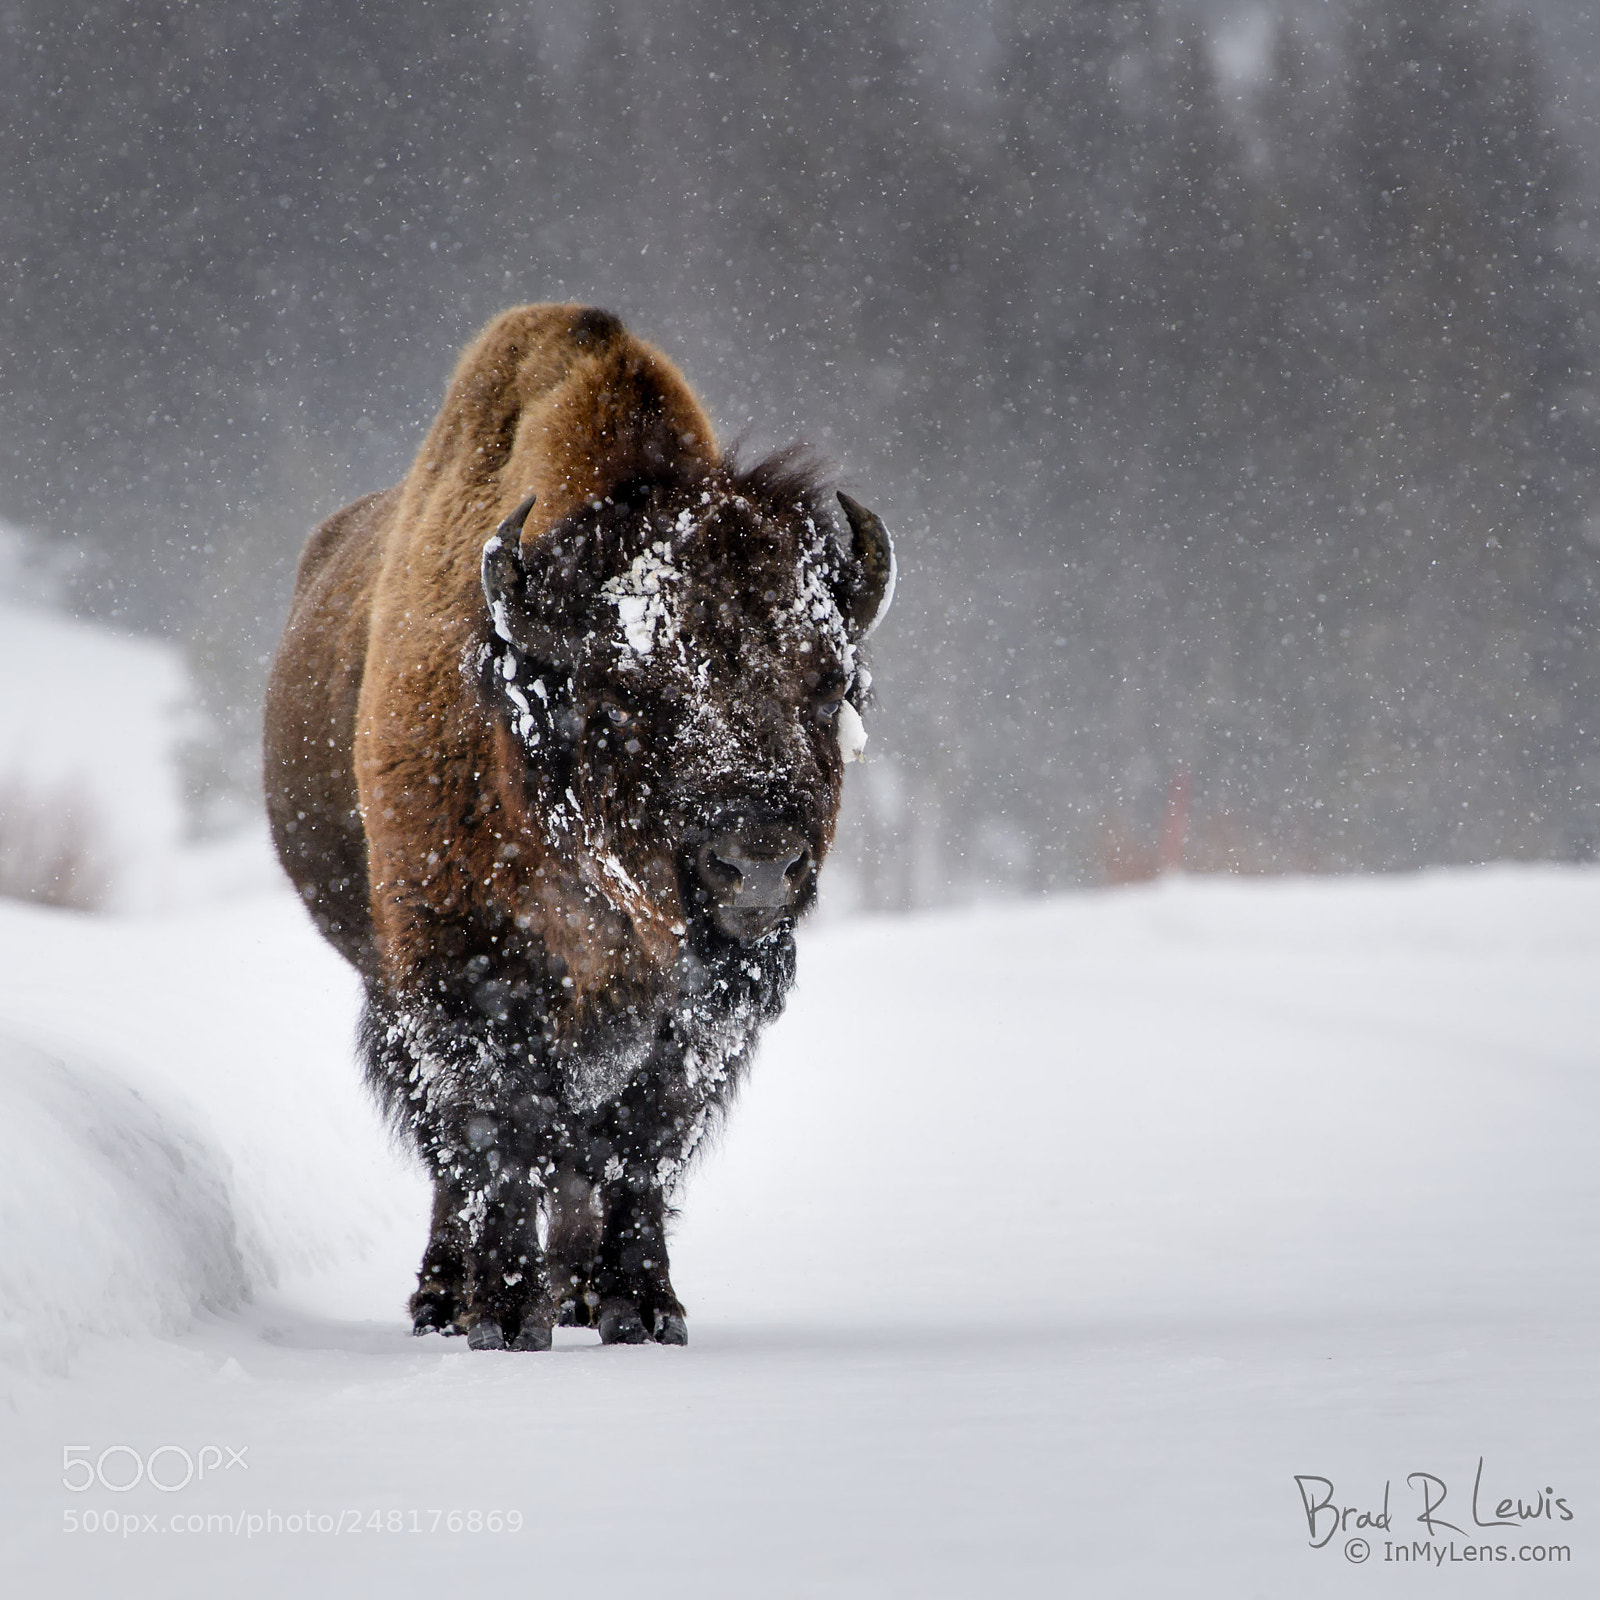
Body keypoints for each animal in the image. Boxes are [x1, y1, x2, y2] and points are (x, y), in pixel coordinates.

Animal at [263, 304, 894, 1348]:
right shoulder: (464, 978)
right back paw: (448, 1295)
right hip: (389, 985)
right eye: (631, 693)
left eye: (826, 681)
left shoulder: (688, 1021)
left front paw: (644, 1306)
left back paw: (576, 1289)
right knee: (457, 1154)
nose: (756, 863)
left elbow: (641, 1144)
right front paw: (503, 1315)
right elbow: (499, 1134)